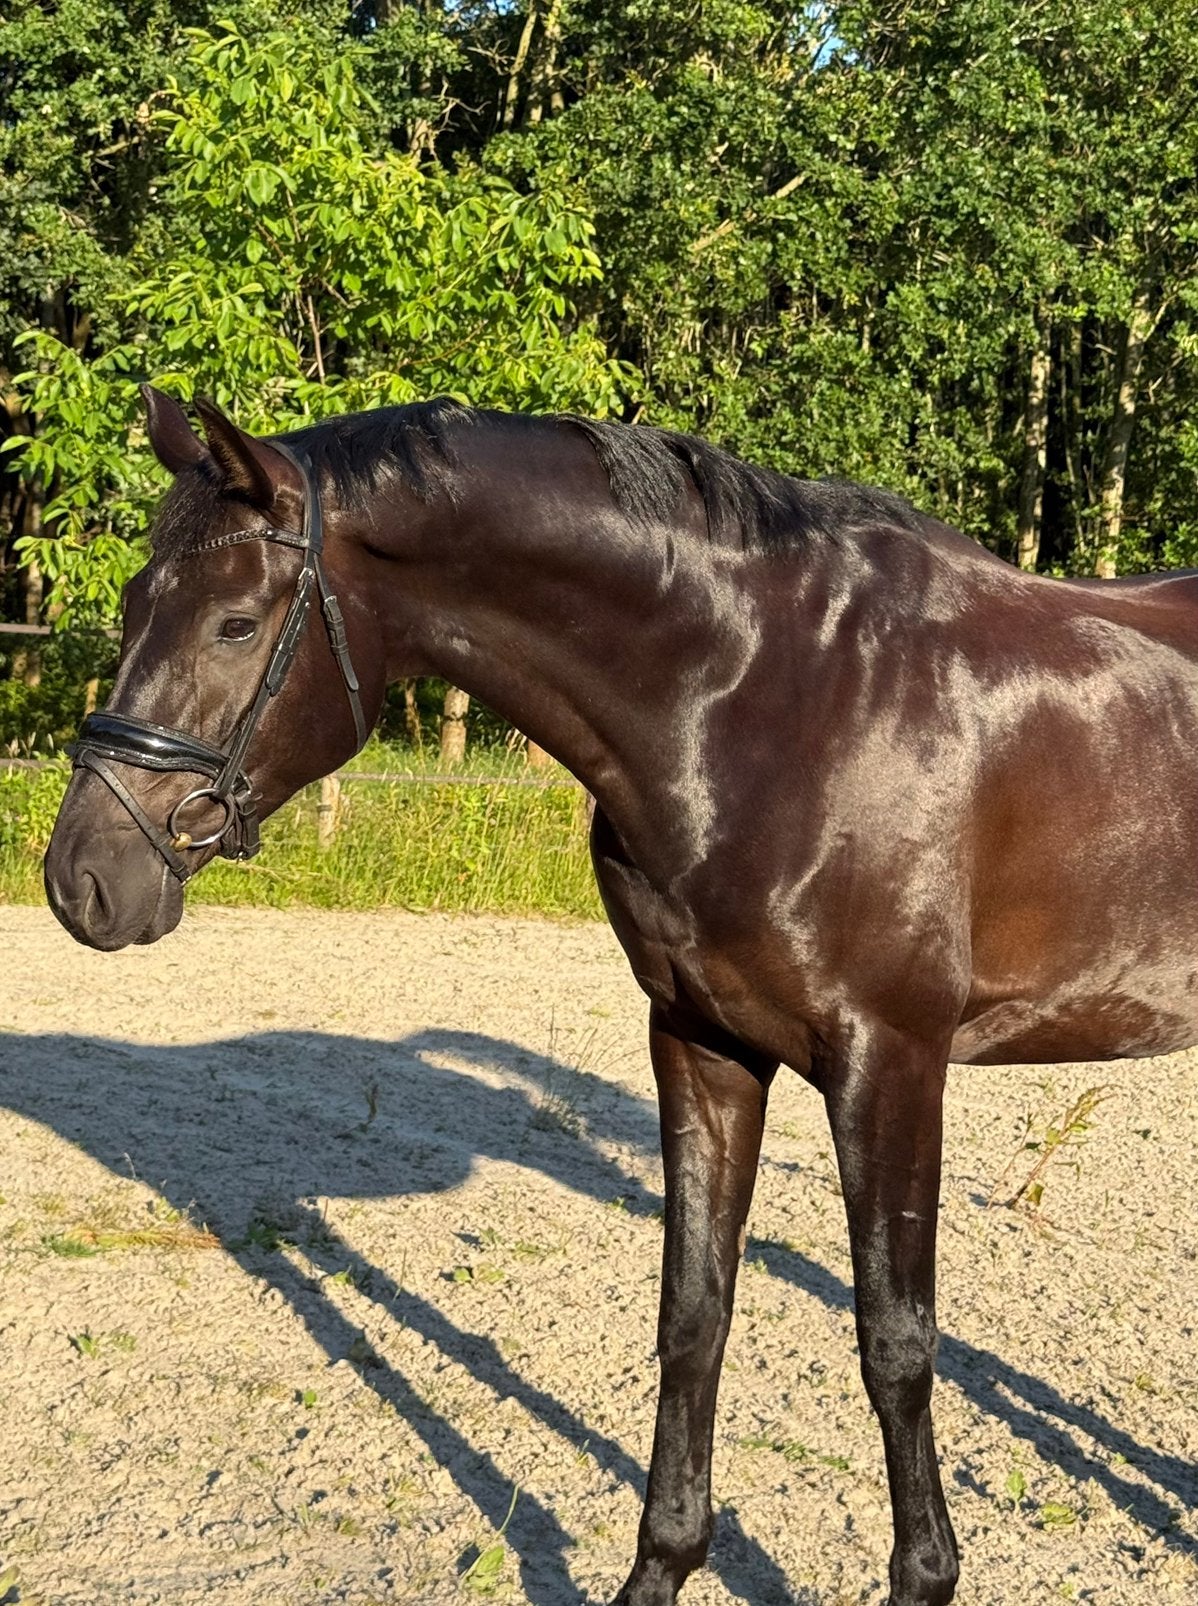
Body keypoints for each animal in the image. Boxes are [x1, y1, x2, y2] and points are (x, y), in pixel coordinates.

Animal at [43, 386, 1198, 1606]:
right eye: (134, 603)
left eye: (234, 623)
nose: (82, 877)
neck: (771, 700)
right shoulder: (700, 1042)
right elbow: (693, 1314)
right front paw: (663, 1563)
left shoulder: (889, 1060)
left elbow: (895, 1341)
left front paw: (925, 1575)